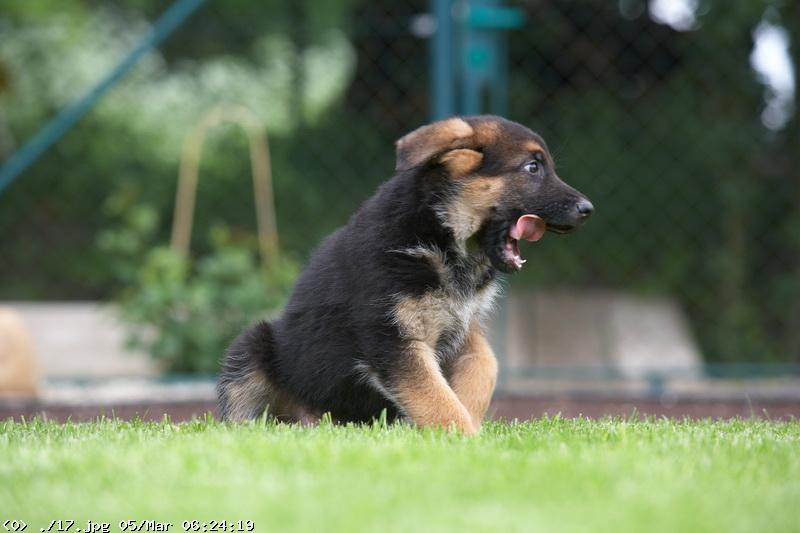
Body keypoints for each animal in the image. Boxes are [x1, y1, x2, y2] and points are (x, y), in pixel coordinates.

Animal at [218, 115, 593, 433]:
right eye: (532, 167)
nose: (588, 209)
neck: (441, 235)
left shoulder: (463, 327)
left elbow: (485, 365)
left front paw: (473, 420)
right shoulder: (394, 340)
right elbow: (437, 400)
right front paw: (466, 439)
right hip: (251, 346)